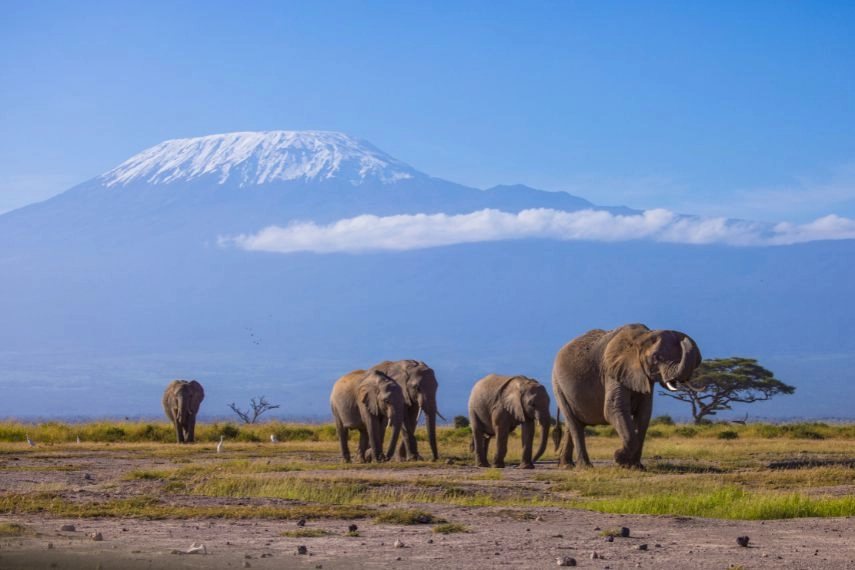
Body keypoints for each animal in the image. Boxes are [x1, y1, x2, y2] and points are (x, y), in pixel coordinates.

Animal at [552, 323, 701, 469]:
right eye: (655, 357)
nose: (684, 340)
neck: (642, 338)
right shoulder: (612, 371)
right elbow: (613, 409)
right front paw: (619, 458)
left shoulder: (642, 376)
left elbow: (644, 414)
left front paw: (635, 466)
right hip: (558, 385)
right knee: (574, 424)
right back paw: (585, 467)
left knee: (572, 425)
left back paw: (566, 465)